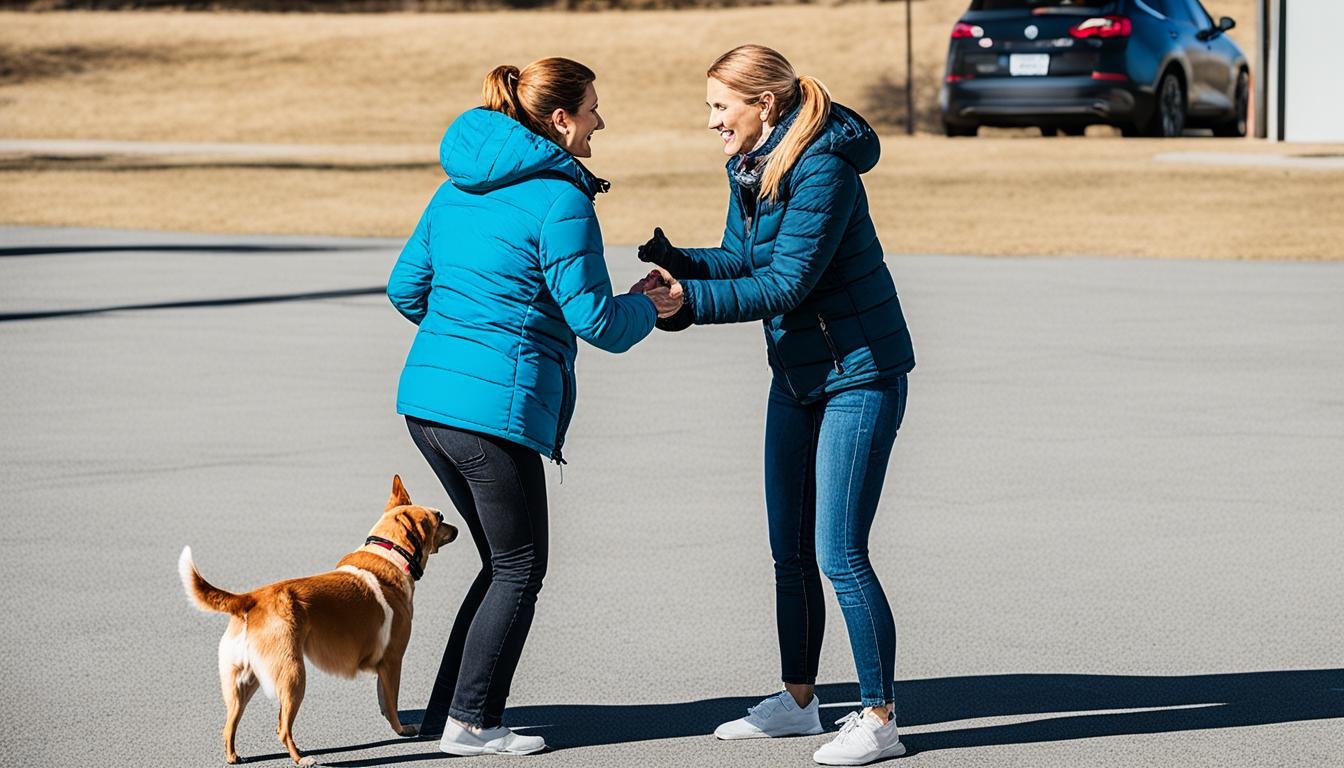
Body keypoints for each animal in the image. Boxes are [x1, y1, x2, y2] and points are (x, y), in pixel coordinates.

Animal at [178, 478, 456, 763]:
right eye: (440, 517)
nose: (457, 528)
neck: (391, 554)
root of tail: (252, 598)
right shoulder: (392, 661)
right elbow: (391, 703)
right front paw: (401, 729)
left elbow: (383, 701)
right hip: (293, 676)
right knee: (282, 727)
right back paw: (301, 759)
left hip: (242, 682)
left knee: (229, 725)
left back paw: (234, 756)